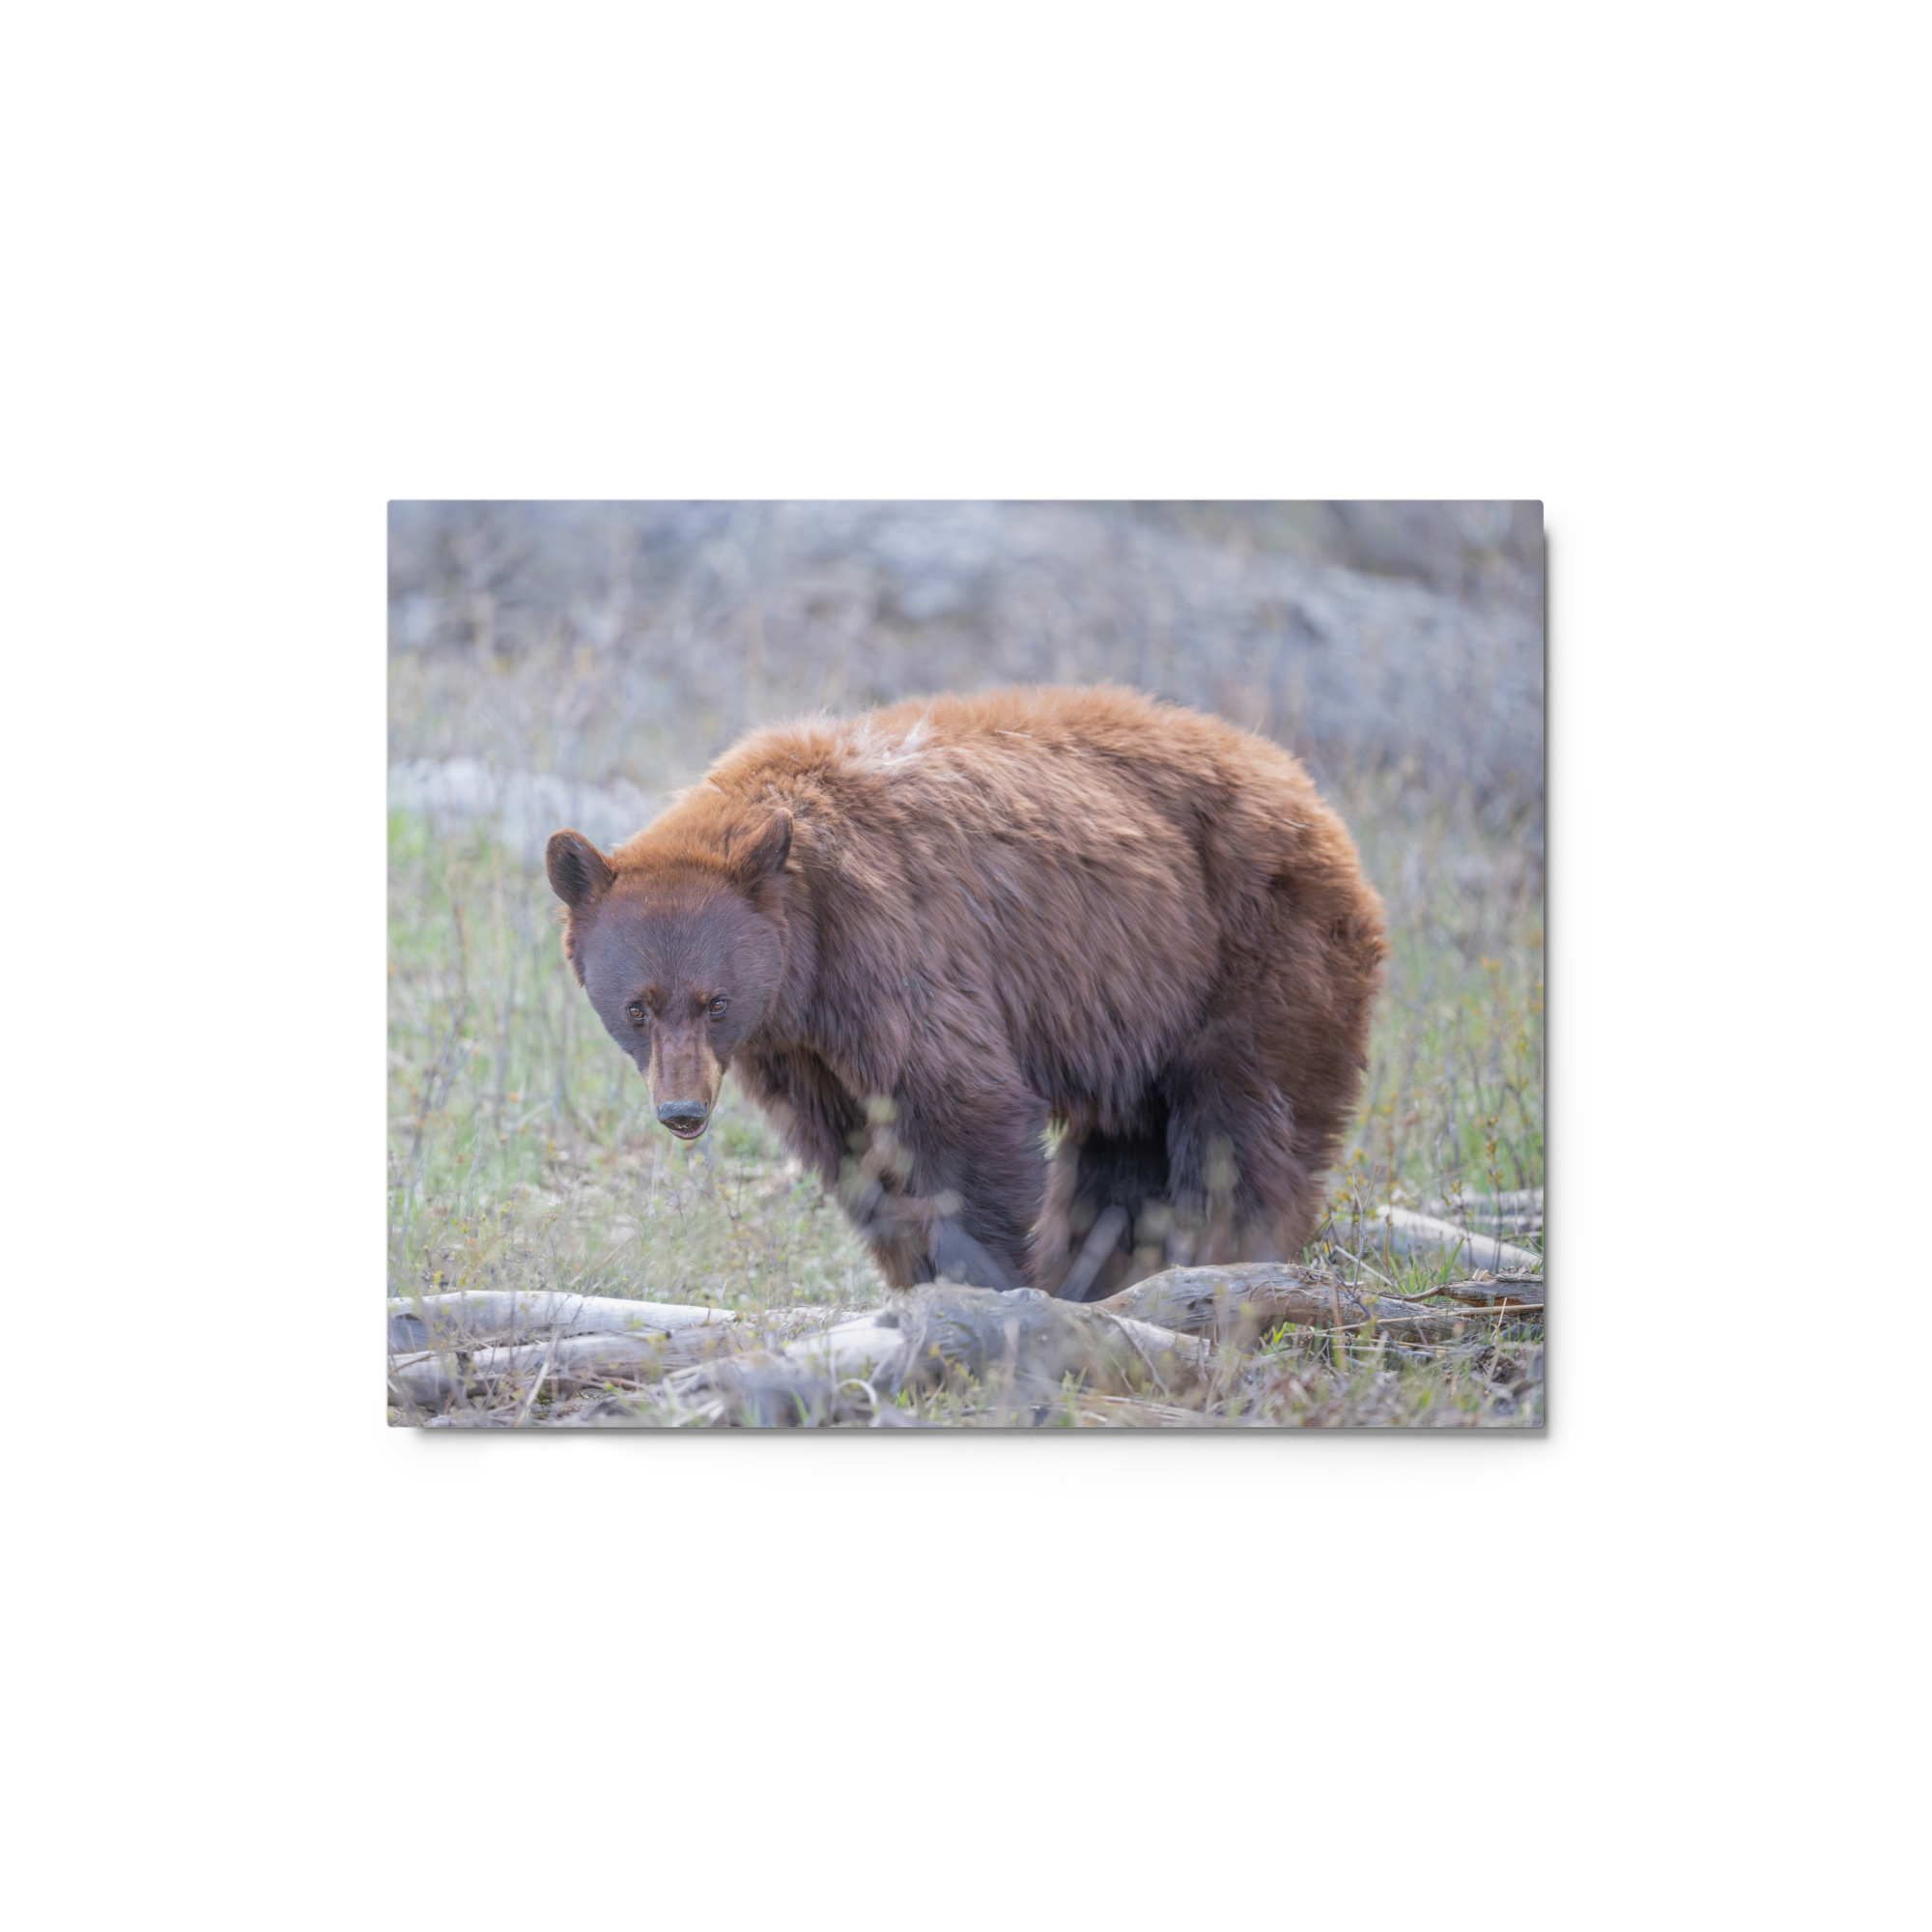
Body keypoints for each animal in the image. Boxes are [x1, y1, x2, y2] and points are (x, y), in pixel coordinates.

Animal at [545, 686, 1387, 1300]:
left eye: (714, 1001)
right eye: (637, 1008)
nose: (682, 1111)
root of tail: (1307, 790)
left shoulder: (893, 948)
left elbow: (962, 1109)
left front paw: (985, 1281)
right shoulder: (799, 1047)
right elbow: (854, 1150)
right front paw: (918, 1275)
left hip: (1255, 952)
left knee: (1243, 1128)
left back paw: (1221, 1258)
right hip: (1142, 1006)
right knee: (1124, 1153)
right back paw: (1106, 1271)